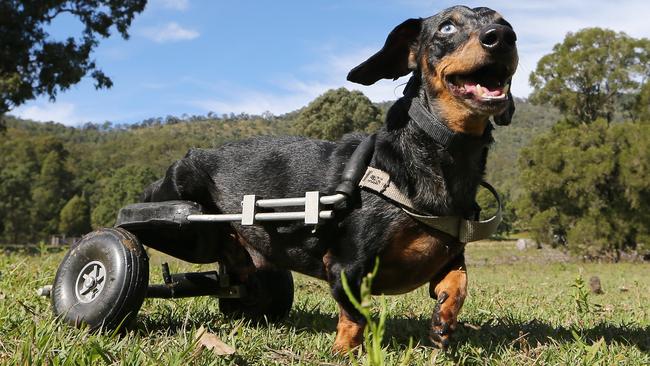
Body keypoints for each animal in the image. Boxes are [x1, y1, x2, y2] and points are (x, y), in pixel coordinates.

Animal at [143, 5, 516, 352]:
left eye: (505, 22)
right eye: (447, 27)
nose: (502, 36)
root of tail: (193, 154)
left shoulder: (448, 257)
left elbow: (458, 284)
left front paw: (443, 323)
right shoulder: (345, 266)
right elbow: (355, 314)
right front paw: (345, 350)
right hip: (178, 207)